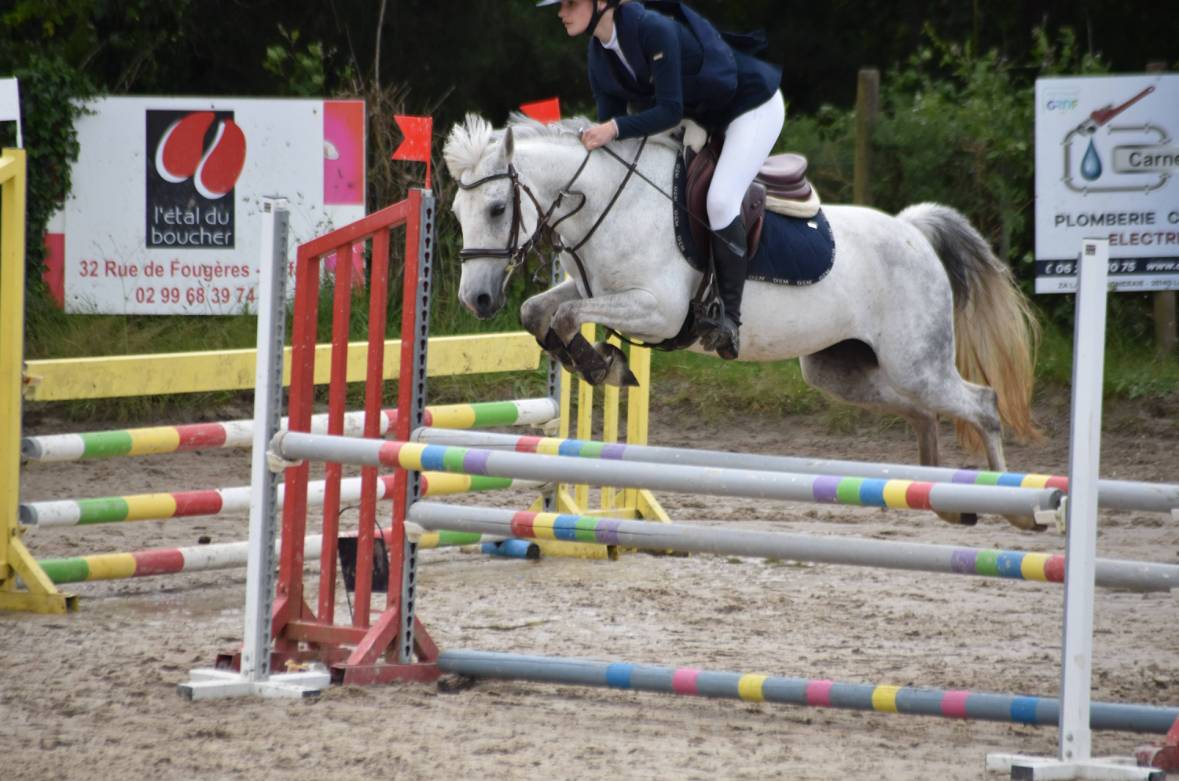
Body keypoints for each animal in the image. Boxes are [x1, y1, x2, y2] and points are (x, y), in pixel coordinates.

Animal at [443, 114, 1041, 529]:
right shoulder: (600, 291)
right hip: (840, 371)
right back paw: (944, 499)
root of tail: (914, 229)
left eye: (497, 208)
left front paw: (602, 364)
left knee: (981, 404)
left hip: (916, 363)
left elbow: (567, 315)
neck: (609, 202)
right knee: (923, 413)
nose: (476, 299)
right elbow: (539, 311)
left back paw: (1014, 509)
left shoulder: (658, 310)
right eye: (455, 213)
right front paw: (593, 360)